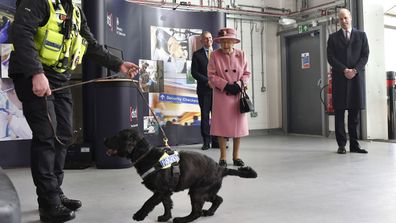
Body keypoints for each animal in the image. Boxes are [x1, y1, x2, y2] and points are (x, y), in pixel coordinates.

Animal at [103, 128, 258, 223]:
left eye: (117, 136)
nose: (104, 139)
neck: (147, 155)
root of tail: (220, 168)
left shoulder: (160, 190)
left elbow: (148, 202)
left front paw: (139, 215)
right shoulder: (165, 192)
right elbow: (167, 204)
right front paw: (166, 217)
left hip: (197, 191)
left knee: (196, 212)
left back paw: (182, 219)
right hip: (206, 191)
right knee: (218, 199)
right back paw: (209, 212)